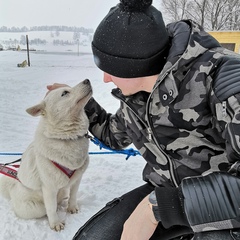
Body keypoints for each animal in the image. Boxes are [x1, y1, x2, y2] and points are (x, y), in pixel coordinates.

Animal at [0, 79, 92, 232]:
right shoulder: (49, 188)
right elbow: (51, 208)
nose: (87, 80)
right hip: (34, 207)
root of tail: (12, 187)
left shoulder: (77, 179)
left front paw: (72, 207)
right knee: (45, 208)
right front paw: (55, 223)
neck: (68, 138)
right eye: (65, 93)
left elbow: (73, 196)